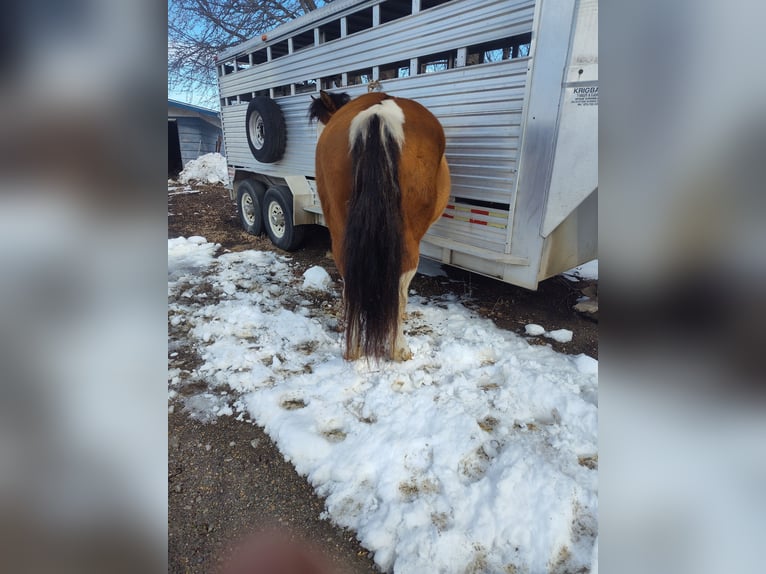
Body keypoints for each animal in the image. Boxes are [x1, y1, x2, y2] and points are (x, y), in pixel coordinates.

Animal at [310, 90, 450, 362]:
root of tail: (378, 113)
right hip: (408, 238)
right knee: (400, 281)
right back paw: (399, 347)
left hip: (341, 231)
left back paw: (353, 346)